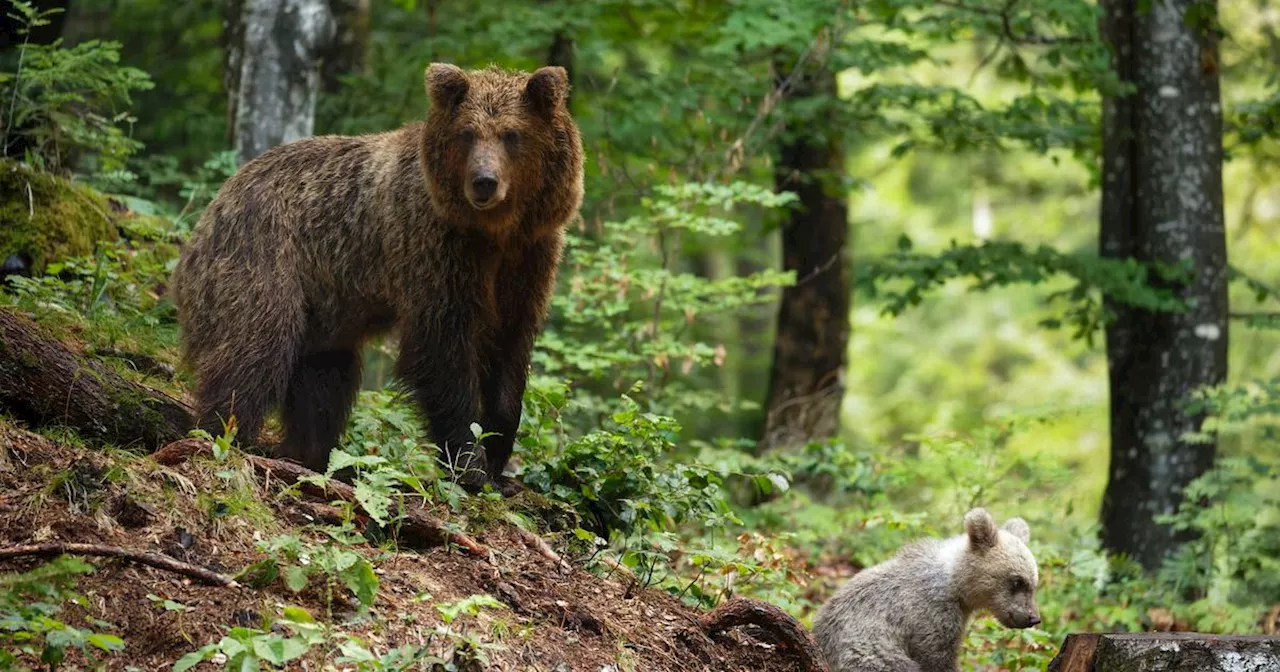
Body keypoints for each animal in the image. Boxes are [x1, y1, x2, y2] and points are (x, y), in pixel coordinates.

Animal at [170, 62, 586, 488]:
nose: (484, 182)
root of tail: (212, 208)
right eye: (467, 133)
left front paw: (499, 459)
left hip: (324, 313)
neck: (495, 232)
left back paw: (309, 453)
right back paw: (226, 434)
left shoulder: (529, 259)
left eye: (511, 134)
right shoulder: (436, 250)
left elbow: (509, 354)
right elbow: (443, 352)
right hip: (262, 256)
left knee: (324, 380)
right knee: (255, 346)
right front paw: (470, 463)